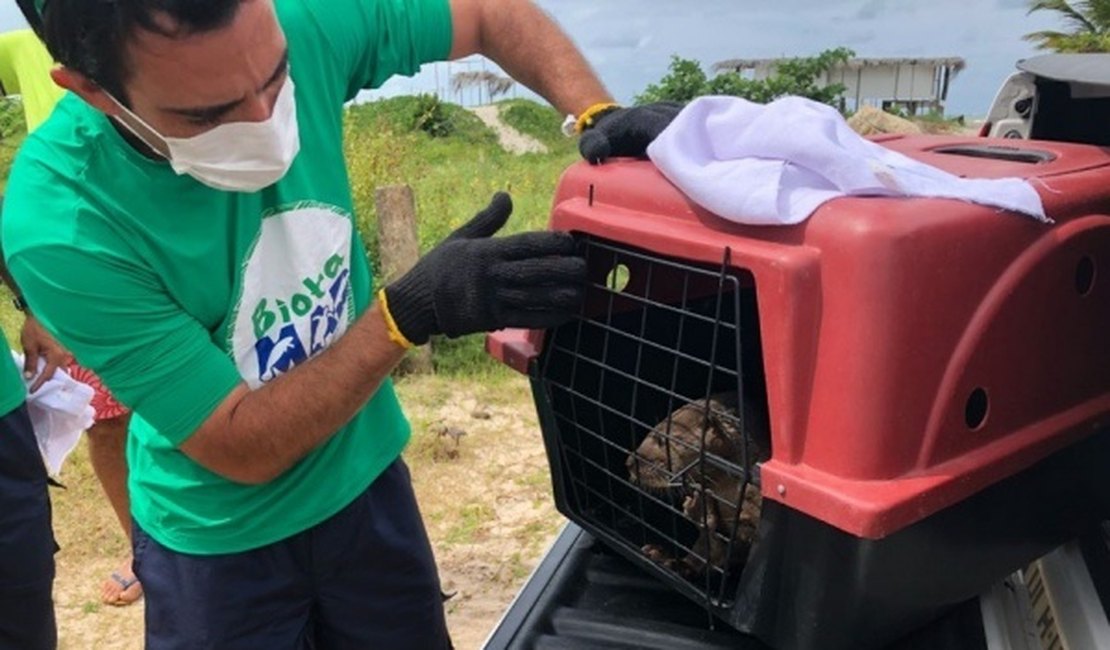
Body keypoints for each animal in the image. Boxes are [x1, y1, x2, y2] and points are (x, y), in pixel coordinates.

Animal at [488, 135, 1110, 647]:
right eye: (650, 429)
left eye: (668, 440)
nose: (626, 463)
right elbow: (707, 535)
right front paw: (687, 516)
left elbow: (739, 519)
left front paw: (706, 505)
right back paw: (661, 548)